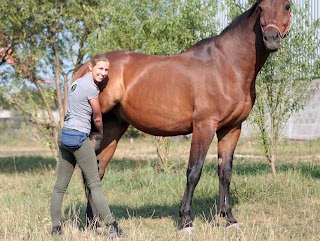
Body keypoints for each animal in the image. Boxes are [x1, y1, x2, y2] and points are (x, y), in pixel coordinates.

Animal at [73, 0, 292, 233]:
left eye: (287, 6)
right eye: (261, 8)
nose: (271, 38)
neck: (228, 65)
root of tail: (85, 68)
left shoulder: (232, 129)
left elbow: (225, 172)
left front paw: (229, 219)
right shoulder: (204, 126)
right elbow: (194, 171)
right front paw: (186, 220)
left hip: (112, 129)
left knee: (96, 170)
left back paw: (94, 223)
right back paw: (93, 223)